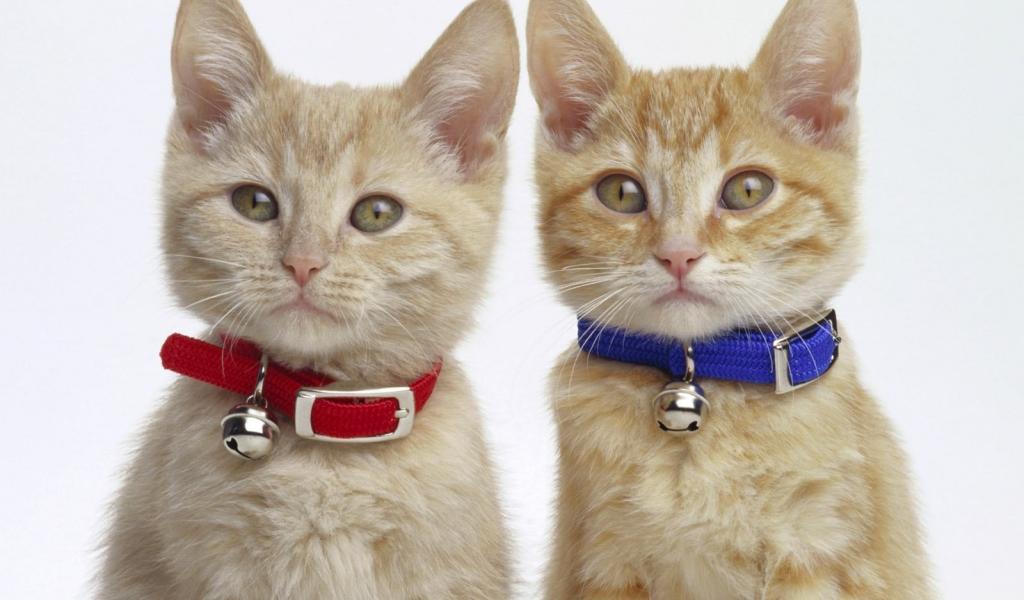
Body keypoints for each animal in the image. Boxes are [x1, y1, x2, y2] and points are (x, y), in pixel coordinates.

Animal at [526, 0, 933, 598]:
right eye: (621, 193)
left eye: (747, 190)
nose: (678, 254)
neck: (701, 380)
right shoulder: (602, 556)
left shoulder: (814, 549)